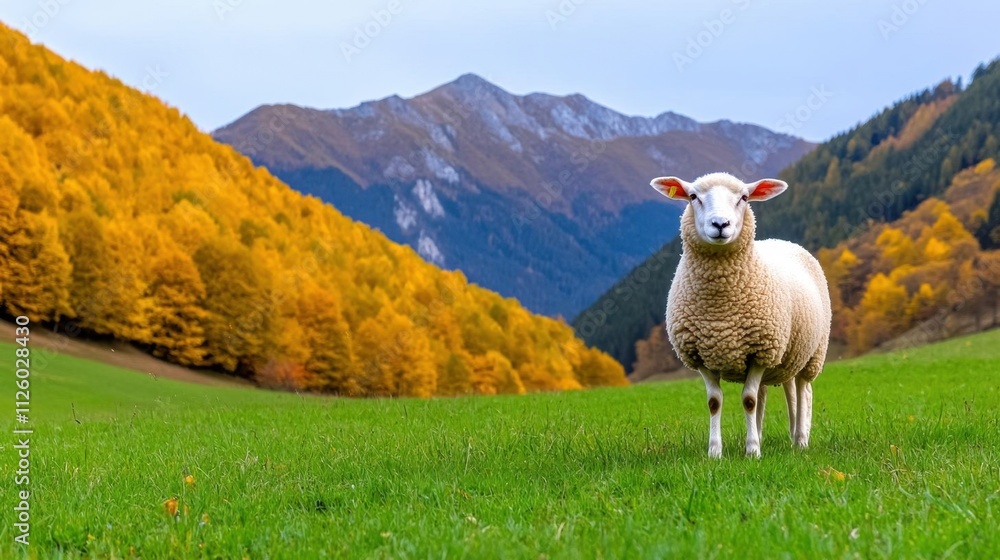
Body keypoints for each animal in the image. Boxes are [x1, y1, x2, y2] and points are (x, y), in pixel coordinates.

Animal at [650, 172, 831, 458]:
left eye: (744, 198)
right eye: (693, 196)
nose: (720, 224)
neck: (720, 309)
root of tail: (783, 241)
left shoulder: (760, 351)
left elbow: (748, 400)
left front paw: (752, 451)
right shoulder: (701, 355)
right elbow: (715, 402)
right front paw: (715, 452)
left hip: (811, 353)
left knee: (803, 390)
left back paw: (801, 440)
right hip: (787, 355)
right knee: (785, 391)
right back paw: (787, 436)